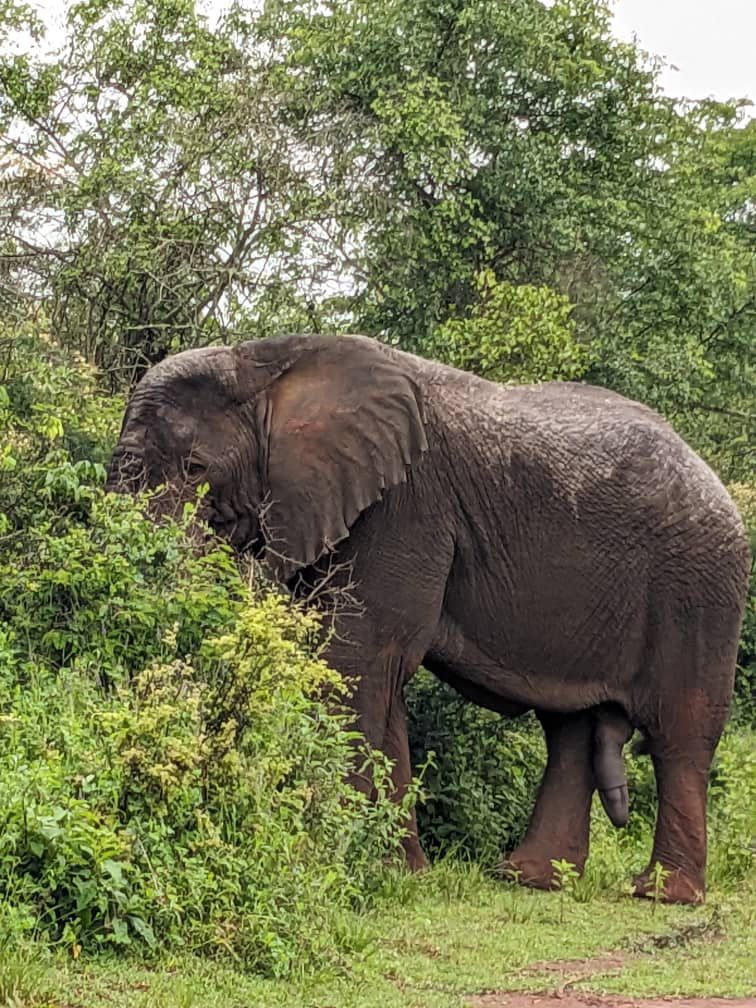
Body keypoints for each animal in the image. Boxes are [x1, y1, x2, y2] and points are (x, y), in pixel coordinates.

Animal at [106, 333, 750, 904]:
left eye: (195, 469)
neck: (263, 361)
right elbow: (374, 674)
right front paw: (398, 872)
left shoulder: (405, 507)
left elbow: (357, 661)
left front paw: (340, 864)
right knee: (568, 729)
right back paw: (526, 879)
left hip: (699, 585)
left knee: (681, 732)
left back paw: (663, 895)